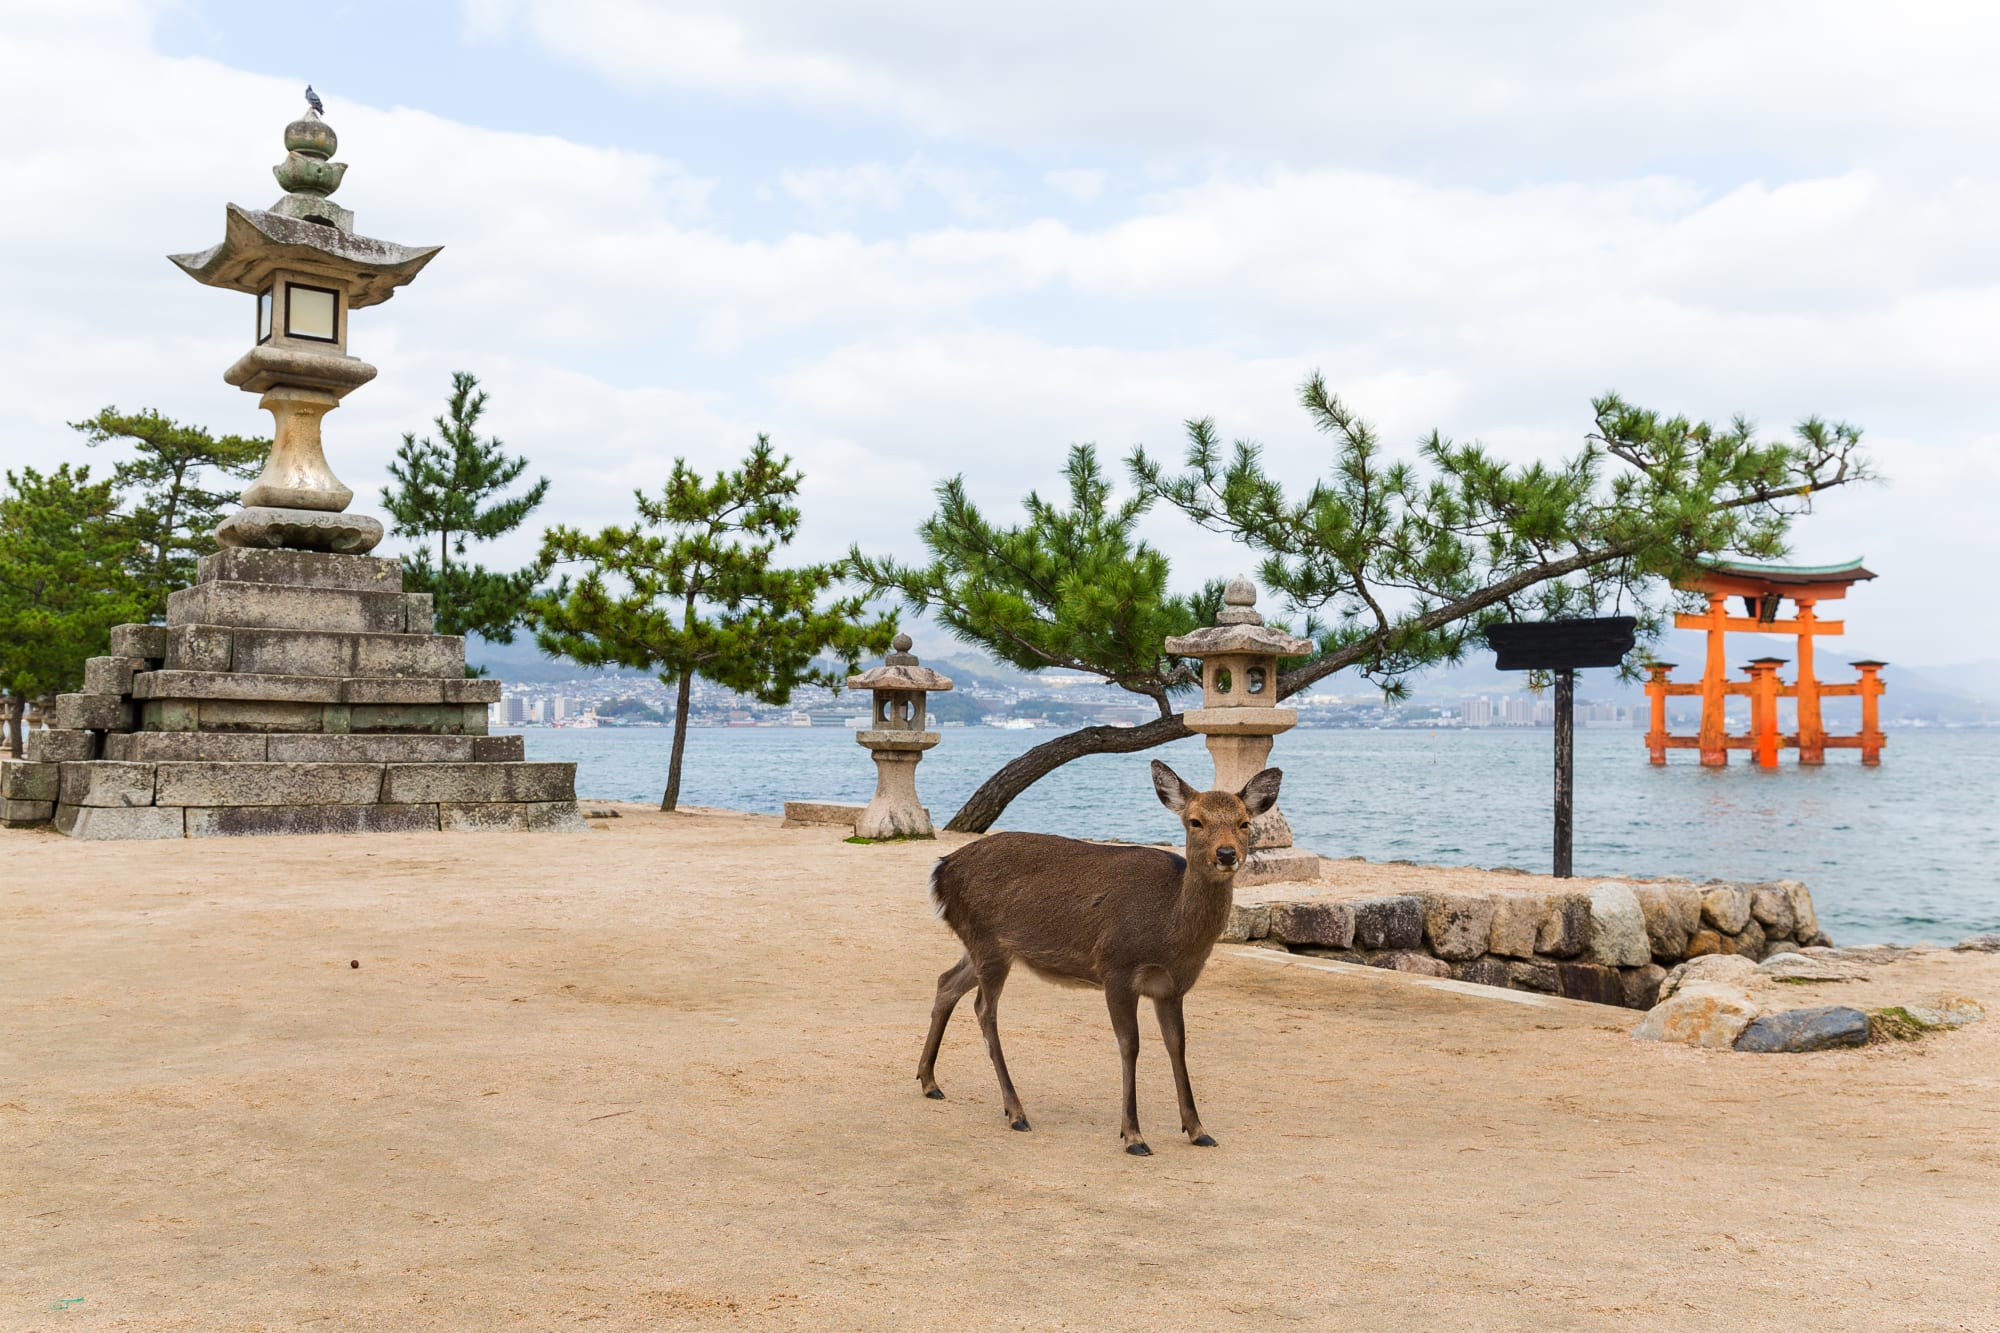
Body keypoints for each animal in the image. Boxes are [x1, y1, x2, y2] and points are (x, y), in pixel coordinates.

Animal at [917, 759, 1282, 1155]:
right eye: (1195, 821)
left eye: (1244, 822)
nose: (1227, 854)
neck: (1170, 933)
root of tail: (940, 870)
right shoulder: (1116, 968)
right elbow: (1130, 1044)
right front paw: (1133, 1135)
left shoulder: (1172, 987)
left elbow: (1178, 1045)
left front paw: (1198, 1129)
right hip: (987, 941)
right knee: (984, 1010)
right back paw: (1016, 1111)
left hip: (986, 944)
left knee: (946, 982)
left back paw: (929, 1081)